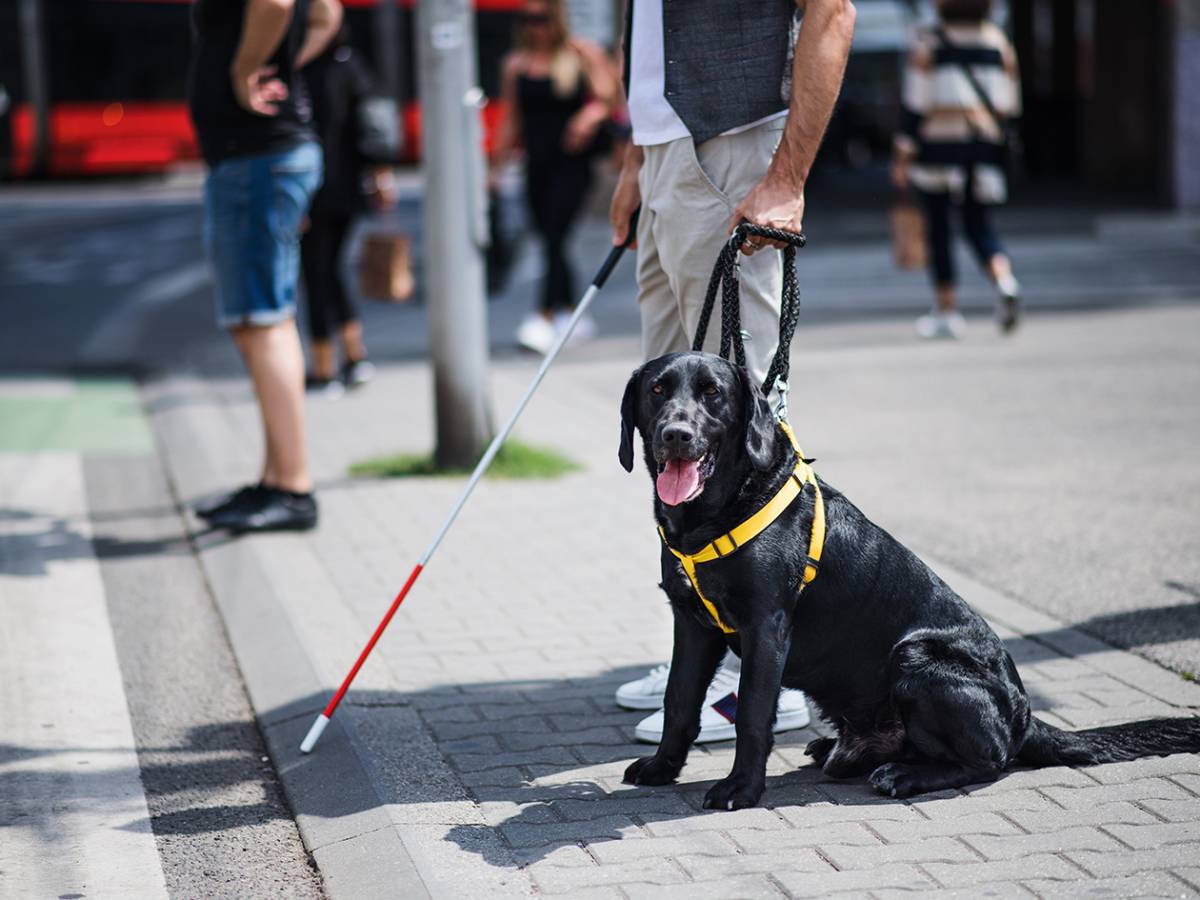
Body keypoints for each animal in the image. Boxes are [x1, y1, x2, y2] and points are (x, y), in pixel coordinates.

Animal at [619, 352, 1200, 811]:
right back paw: (840, 750)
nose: (676, 435)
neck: (716, 514)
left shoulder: (766, 627)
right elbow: (678, 701)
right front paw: (661, 767)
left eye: (713, 393)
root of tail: (1025, 717)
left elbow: (753, 715)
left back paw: (903, 774)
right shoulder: (693, 625)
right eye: (657, 391)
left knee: (990, 761)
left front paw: (740, 788)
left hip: (917, 657)